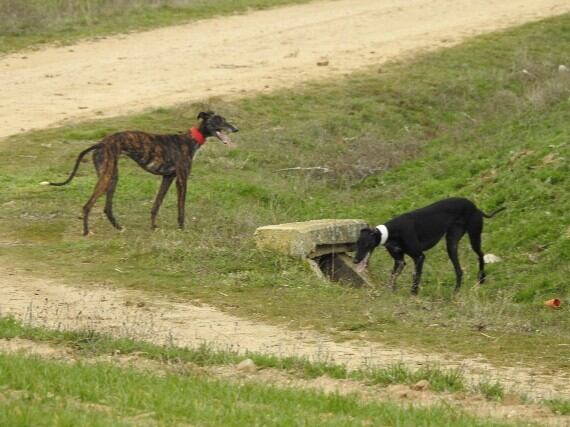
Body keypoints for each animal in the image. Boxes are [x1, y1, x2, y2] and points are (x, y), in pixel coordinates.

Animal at [44, 112, 237, 236]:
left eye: (225, 119)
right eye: (218, 120)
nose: (236, 129)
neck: (190, 140)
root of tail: (101, 143)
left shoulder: (167, 178)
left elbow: (156, 205)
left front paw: (153, 227)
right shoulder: (182, 179)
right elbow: (181, 207)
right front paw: (182, 229)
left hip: (112, 176)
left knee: (107, 207)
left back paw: (119, 228)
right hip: (107, 176)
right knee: (88, 205)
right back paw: (86, 232)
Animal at [352, 197, 504, 294]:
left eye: (366, 244)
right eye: (357, 244)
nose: (355, 260)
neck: (391, 232)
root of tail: (476, 207)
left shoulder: (419, 257)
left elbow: (416, 277)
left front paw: (413, 295)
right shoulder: (399, 260)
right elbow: (392, 277)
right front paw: (390, 292)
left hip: (474, 237)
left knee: (481, 255)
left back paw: (481, 278)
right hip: (451, 243)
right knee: (459, 270)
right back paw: (456, 291)